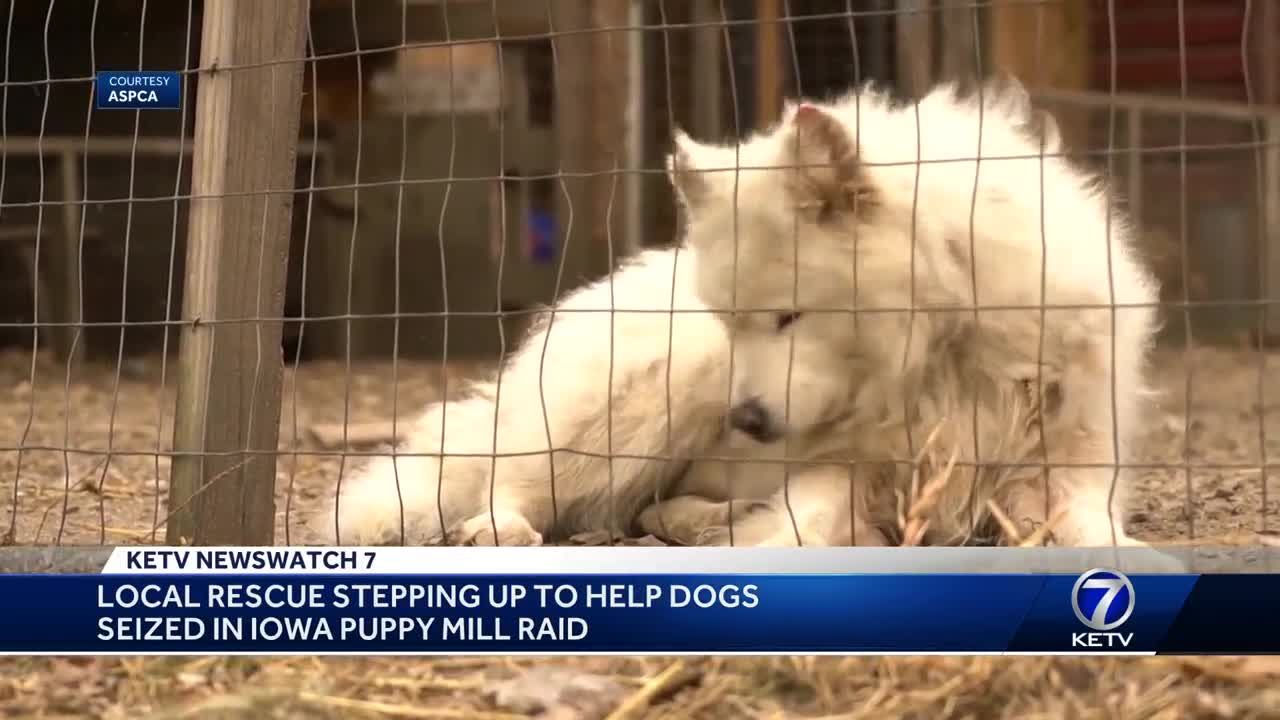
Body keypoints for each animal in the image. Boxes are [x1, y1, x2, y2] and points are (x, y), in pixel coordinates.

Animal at [330, 78, 1162, 545]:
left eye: (789, 317)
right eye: (736, 322)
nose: (749, 422)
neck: (944, 350)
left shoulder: (1066, 476)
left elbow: (1106, 541)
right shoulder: (840, 474)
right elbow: (804, 532)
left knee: (639, 509)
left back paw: (695, 523)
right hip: (638, 405)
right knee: (517, 484)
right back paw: (501, 529)